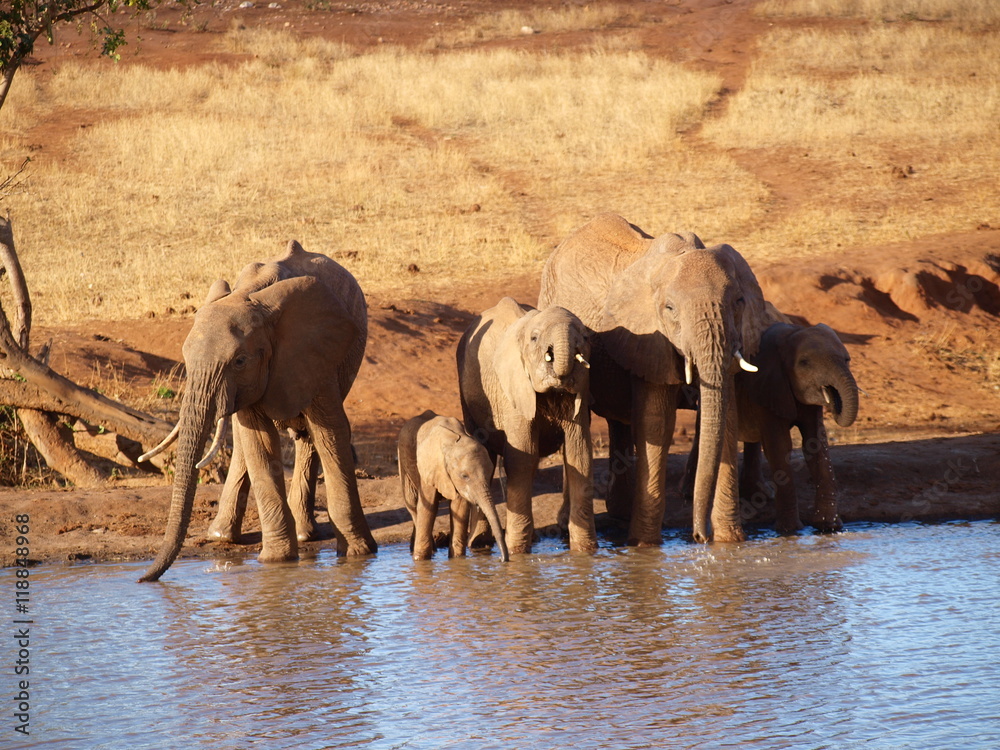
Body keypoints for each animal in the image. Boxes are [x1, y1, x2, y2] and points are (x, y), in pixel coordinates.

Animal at [138, 240, 377, 582]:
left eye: (240, 361)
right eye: (186, 358)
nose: (143, 579)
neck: (251, 297)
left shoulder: (314, 354)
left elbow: (330, 435)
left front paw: (359, 555)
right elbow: (259, 444)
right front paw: (278, 560)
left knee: (308, 437)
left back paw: (303, 534)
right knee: (246, 442)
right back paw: (221, 535)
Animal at [397, 410, 509, 562]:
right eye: (465, 476)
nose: (502, 560)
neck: (454, 442)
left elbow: (459, 506)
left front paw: (457, 560)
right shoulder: (429, 468)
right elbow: (429, 507)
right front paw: (420, 560)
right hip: (402, 461)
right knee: (413, 505)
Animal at [457, 297, 596, 555]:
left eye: (585, 337)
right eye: (534, 338)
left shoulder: (581, 391)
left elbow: (579, 455)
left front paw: (586, 552)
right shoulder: (513, 392)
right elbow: (522, 459)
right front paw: (517, 553)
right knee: (486, 454)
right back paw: (480, 543)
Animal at [538, 213, 770, 546]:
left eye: (739, 302)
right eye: (670, 309)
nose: (699, 536)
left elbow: (727, 418)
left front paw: (730, 543)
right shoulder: (648, 338)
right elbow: (656, 423)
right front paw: (644, 546)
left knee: (618, 422)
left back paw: (620, 513)